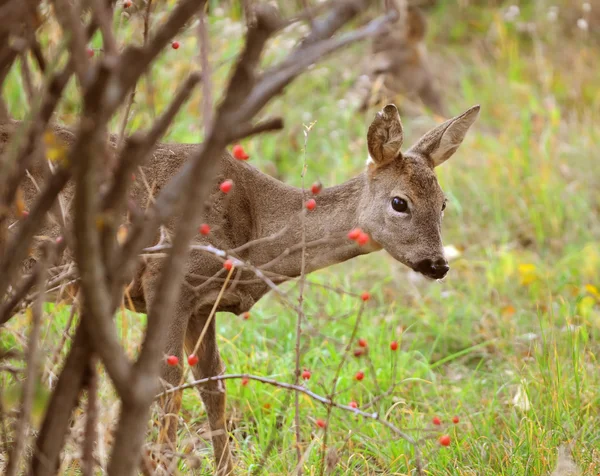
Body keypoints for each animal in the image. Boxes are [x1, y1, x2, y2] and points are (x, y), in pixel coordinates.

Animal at [0, 102, 478, 474]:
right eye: (400, 202)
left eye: (443, 204)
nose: (438, 264)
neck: (255, 230)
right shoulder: (166, 280)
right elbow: (167, 384)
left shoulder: (203, 303)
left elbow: (213, 386)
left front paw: (225, 468)